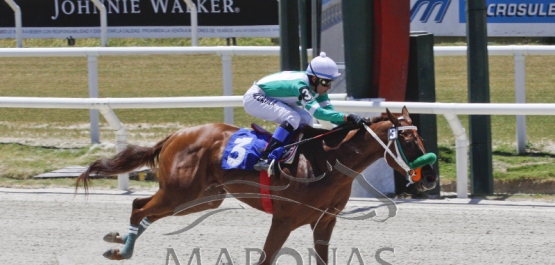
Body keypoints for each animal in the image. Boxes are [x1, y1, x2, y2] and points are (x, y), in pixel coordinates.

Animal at [75, 106, 438, 262]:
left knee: (143, 208)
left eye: (420, 135)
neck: (326, 161)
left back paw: (118, 239)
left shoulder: (325, 221)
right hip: (181, 192)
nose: (432, 177)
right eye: (408, 139)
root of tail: (175, 135)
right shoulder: (284, 219)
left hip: (202, 198)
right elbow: (265, 258)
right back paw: (121, 249)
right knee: (139, 207)